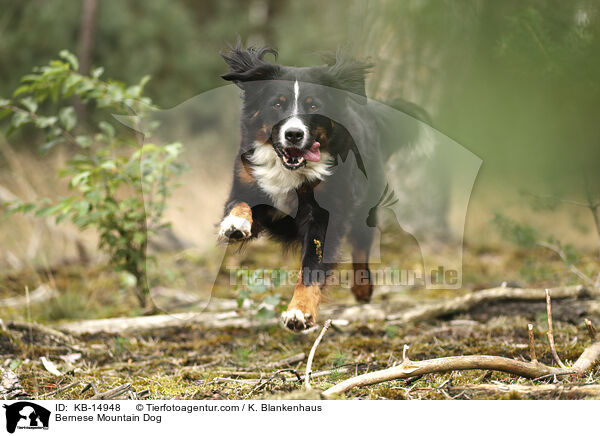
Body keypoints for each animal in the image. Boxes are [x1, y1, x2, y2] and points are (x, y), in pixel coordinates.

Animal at [218, 43, 396, 330]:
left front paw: (299, 311)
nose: (293, 134)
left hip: (365, 206)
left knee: (361, 247)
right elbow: (240, 203)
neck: (289, 170)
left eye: (314, 105)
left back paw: (362, 288)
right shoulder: (247, 184)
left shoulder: (324, 214)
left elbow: (312, 265)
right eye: (277, 104)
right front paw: (235, 224)